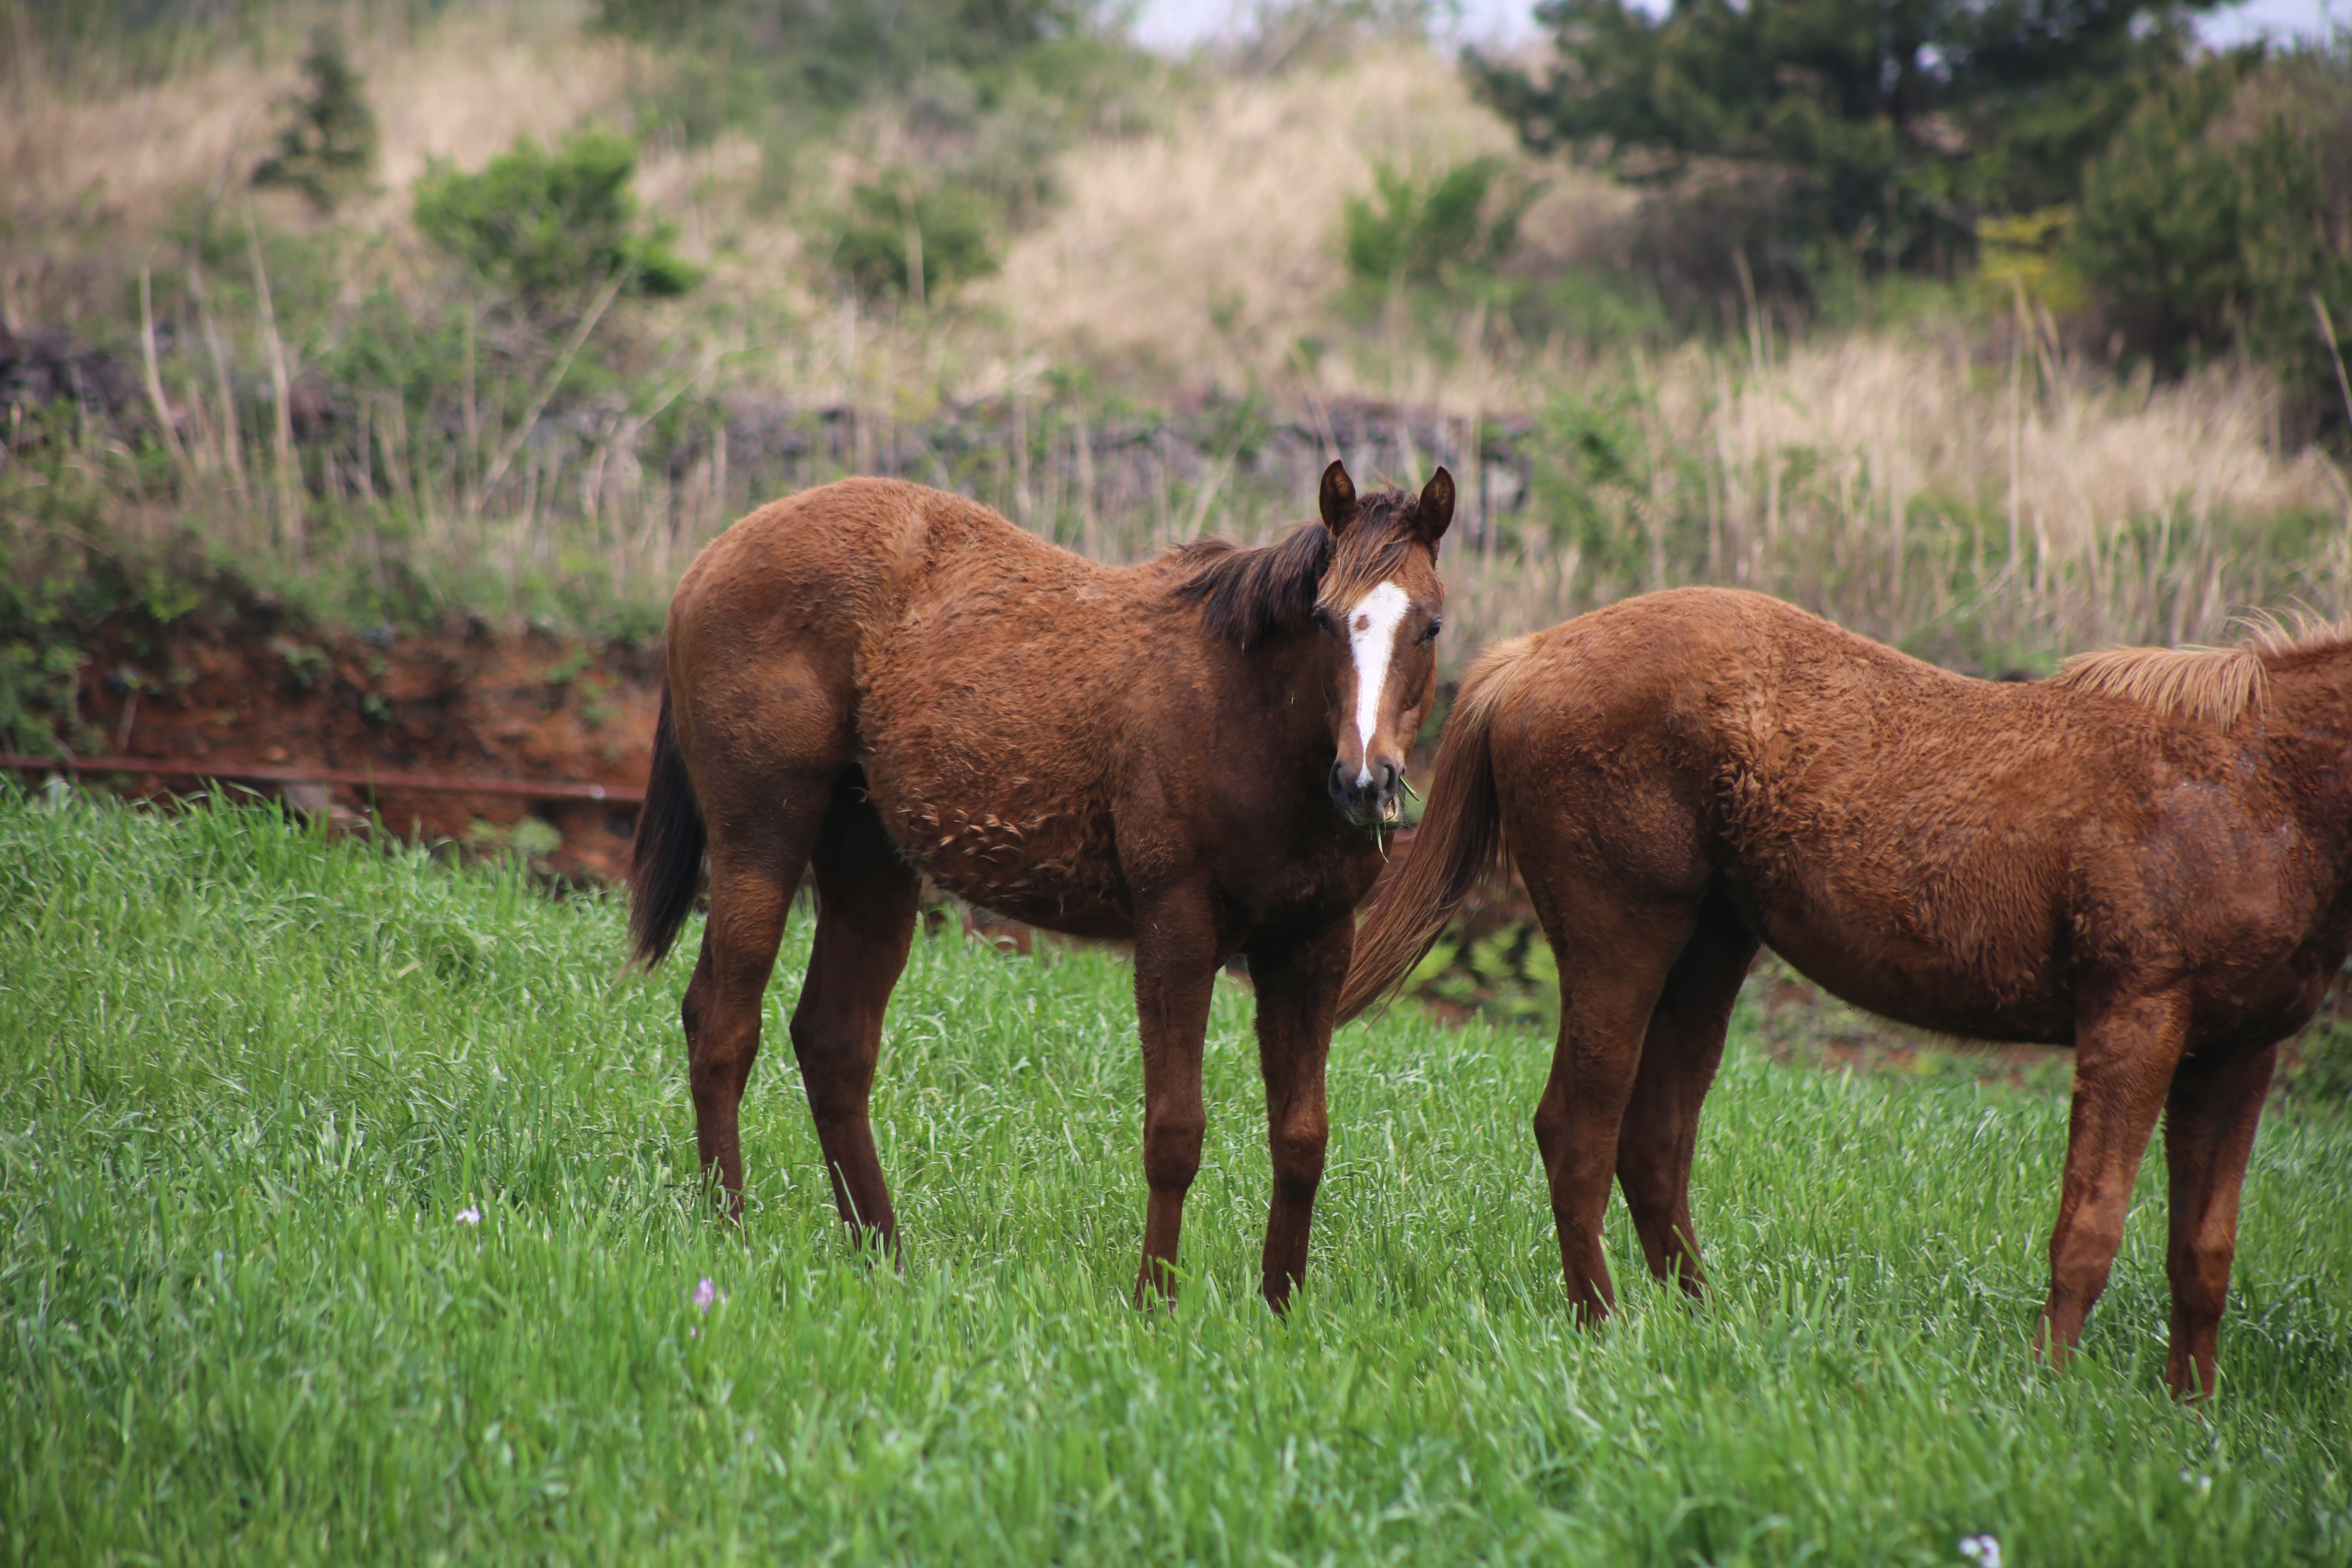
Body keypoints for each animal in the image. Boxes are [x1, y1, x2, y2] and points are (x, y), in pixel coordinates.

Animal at [626, 463, 1449, 1316]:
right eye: (1323, 620)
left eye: (1430, 627)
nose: (1366, 782)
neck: (1245, 716)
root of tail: (710, 558)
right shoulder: (1176, 933)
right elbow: (1174, 1133)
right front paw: (1154, 1303)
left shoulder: (1314, 945)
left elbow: (1301, 1136)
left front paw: (1280, 1309)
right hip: (761, 839)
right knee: (722, 1025)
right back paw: (730, 1233)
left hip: (869, 861)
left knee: (832, 1042)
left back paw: (884, 1257)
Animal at [1345, 588, 2352, 1401]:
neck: (2255, 787)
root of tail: (1527, 658)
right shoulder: (2135, 1018)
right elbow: (2090, 1228)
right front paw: (2049, 1396)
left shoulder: (2237, 1053)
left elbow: (2203, 1254)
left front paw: (2194, 1417)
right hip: (1619, 941)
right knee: (1578, 1132)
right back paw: (1605, 1328)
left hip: (1708, 950)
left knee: (1654, 1142)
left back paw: (1701, 1330)